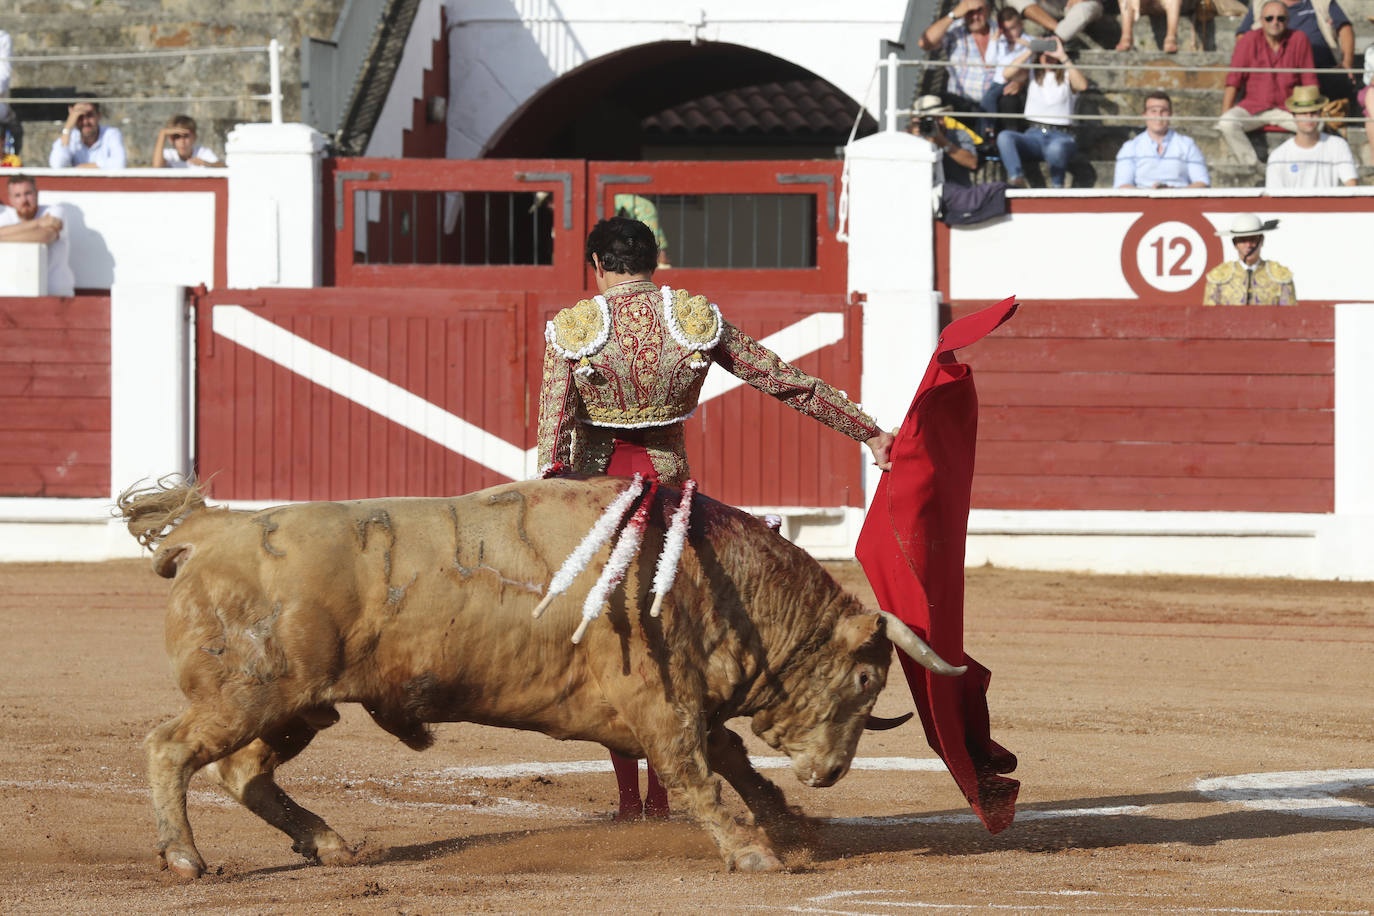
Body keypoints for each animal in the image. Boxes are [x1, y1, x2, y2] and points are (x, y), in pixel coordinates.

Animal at [118, 477, 967, 878]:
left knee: (242, 773)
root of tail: (212, 531)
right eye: (867, 682)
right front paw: (754, 853)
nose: (830, 773)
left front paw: (788, 823)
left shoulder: (685, 704)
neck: (712, 577)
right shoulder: (660, 707)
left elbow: (731, 759)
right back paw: (186, 858)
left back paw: (329, 844)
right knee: (172, 749)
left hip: (298, 706)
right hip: (251, 693)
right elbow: (697, 775)